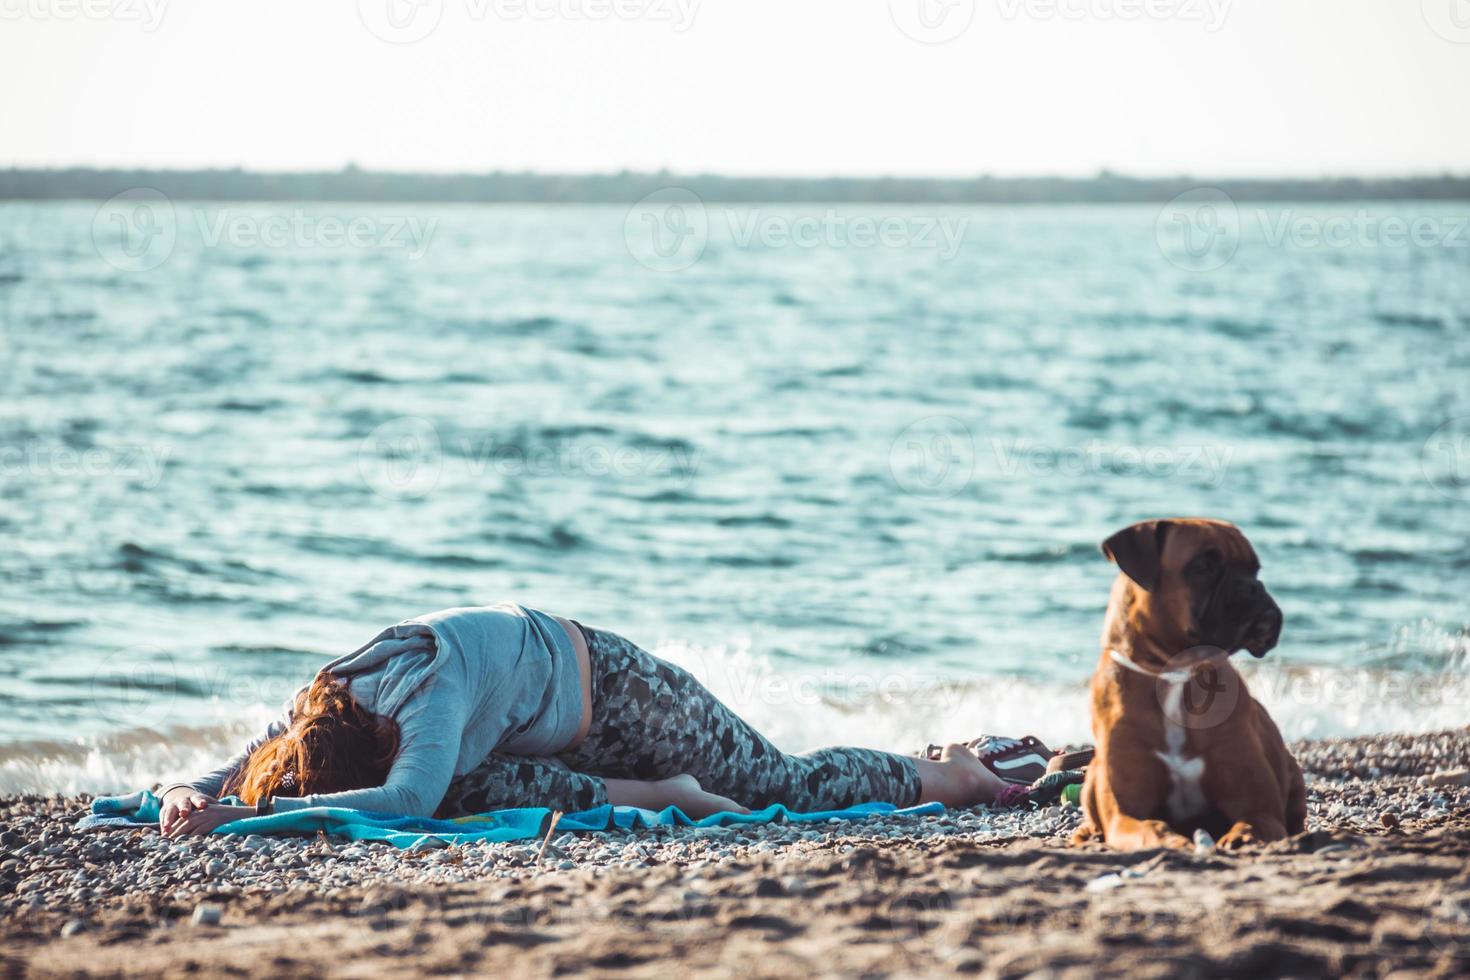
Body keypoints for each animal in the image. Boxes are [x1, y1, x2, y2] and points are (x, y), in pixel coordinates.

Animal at [1070, 520, 1311, 852]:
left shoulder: (1260, 810)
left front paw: (1242, 836)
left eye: (1255, 570)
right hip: (1093, 771)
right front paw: (1172, 839)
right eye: (1203, 566)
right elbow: (1151, 827)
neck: (1176, 674)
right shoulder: (1126, 815)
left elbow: (1252, 822)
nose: (1254, 587)